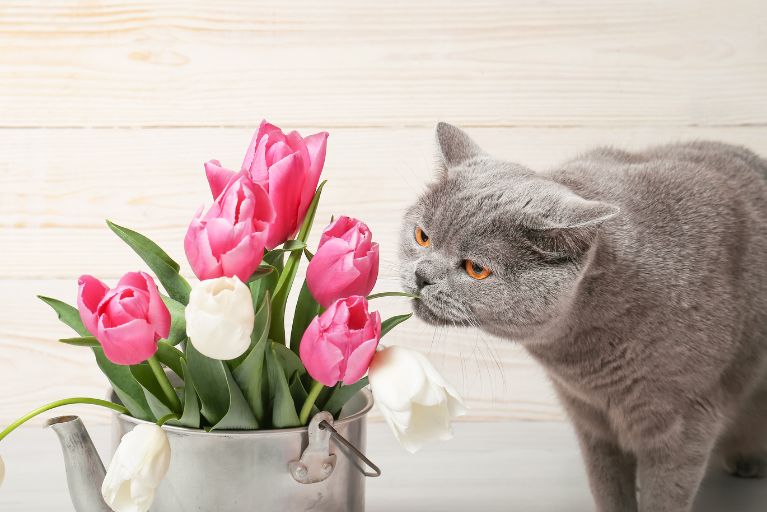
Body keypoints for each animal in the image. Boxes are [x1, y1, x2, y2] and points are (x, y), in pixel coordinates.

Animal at [400, 122, 767, 510]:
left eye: (476, 269)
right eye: (422, 237)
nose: (422, 275)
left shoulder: (687, 418)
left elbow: (665, 496)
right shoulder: (589, 417)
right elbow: (607, 486)